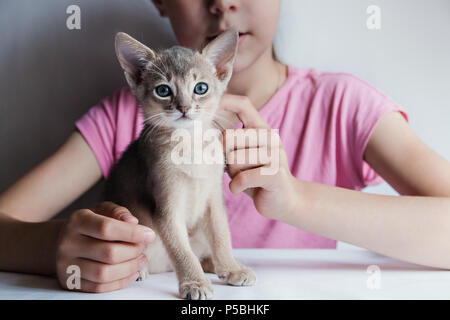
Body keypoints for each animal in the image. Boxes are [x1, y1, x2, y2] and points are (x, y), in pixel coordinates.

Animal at [103, 28, 255, 300]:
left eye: (201, 88)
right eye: (163, 90)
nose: (184, 107)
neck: (190, 146)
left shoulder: (213, 200)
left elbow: (221, 236)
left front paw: (231, 267)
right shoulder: (167, 208)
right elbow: (182, 251)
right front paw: (194, 283)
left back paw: (214, 265)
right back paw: (141, 269)